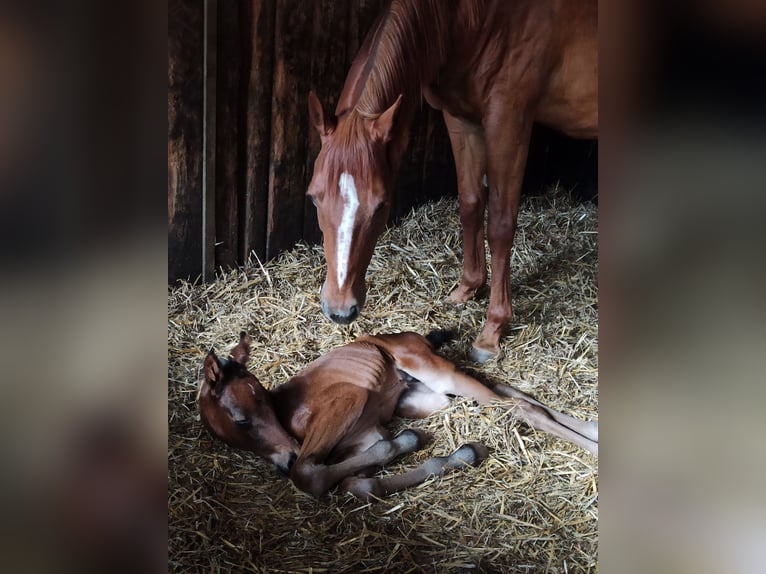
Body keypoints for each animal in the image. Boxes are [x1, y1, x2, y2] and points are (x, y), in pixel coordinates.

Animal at [201, 330, 604, 502]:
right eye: (241, 418)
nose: (286, 458)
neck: (287, 411)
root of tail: (415, 337)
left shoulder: (349, 400)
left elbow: (309, 476)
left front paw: (412, 442)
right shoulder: (366, 438)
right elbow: (362, 484)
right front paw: (459, 454)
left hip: (436, 373)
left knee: (520, 407)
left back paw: (596, 448)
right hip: (426, 398)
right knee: (511, 392)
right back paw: (595, 428)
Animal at [308, 0, 600, 362]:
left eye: (382, 204)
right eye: (313, 197)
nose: (339, 310)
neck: (476, 19)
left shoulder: (509, 121)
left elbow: (500, 225)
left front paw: (492, 330)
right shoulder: (461, 118)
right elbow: (471, 202)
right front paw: (468, 288)